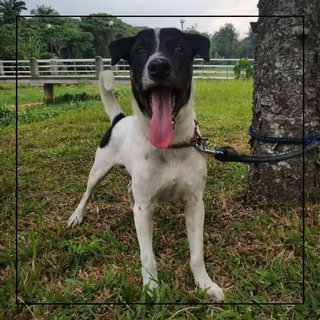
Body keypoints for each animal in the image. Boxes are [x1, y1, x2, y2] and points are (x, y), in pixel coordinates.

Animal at [67, 27, 224, 302]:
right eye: (140, 51)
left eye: (179, 48)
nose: (158, 66)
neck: (170, 147)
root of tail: (119, 119)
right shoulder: (145, 208)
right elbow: (147, 255)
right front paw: (151, 288)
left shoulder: (195, 203)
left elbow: (197, 253)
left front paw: (204, 284)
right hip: (98, 169)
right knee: (88, 193)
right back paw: (77, 216)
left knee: (130, 191)